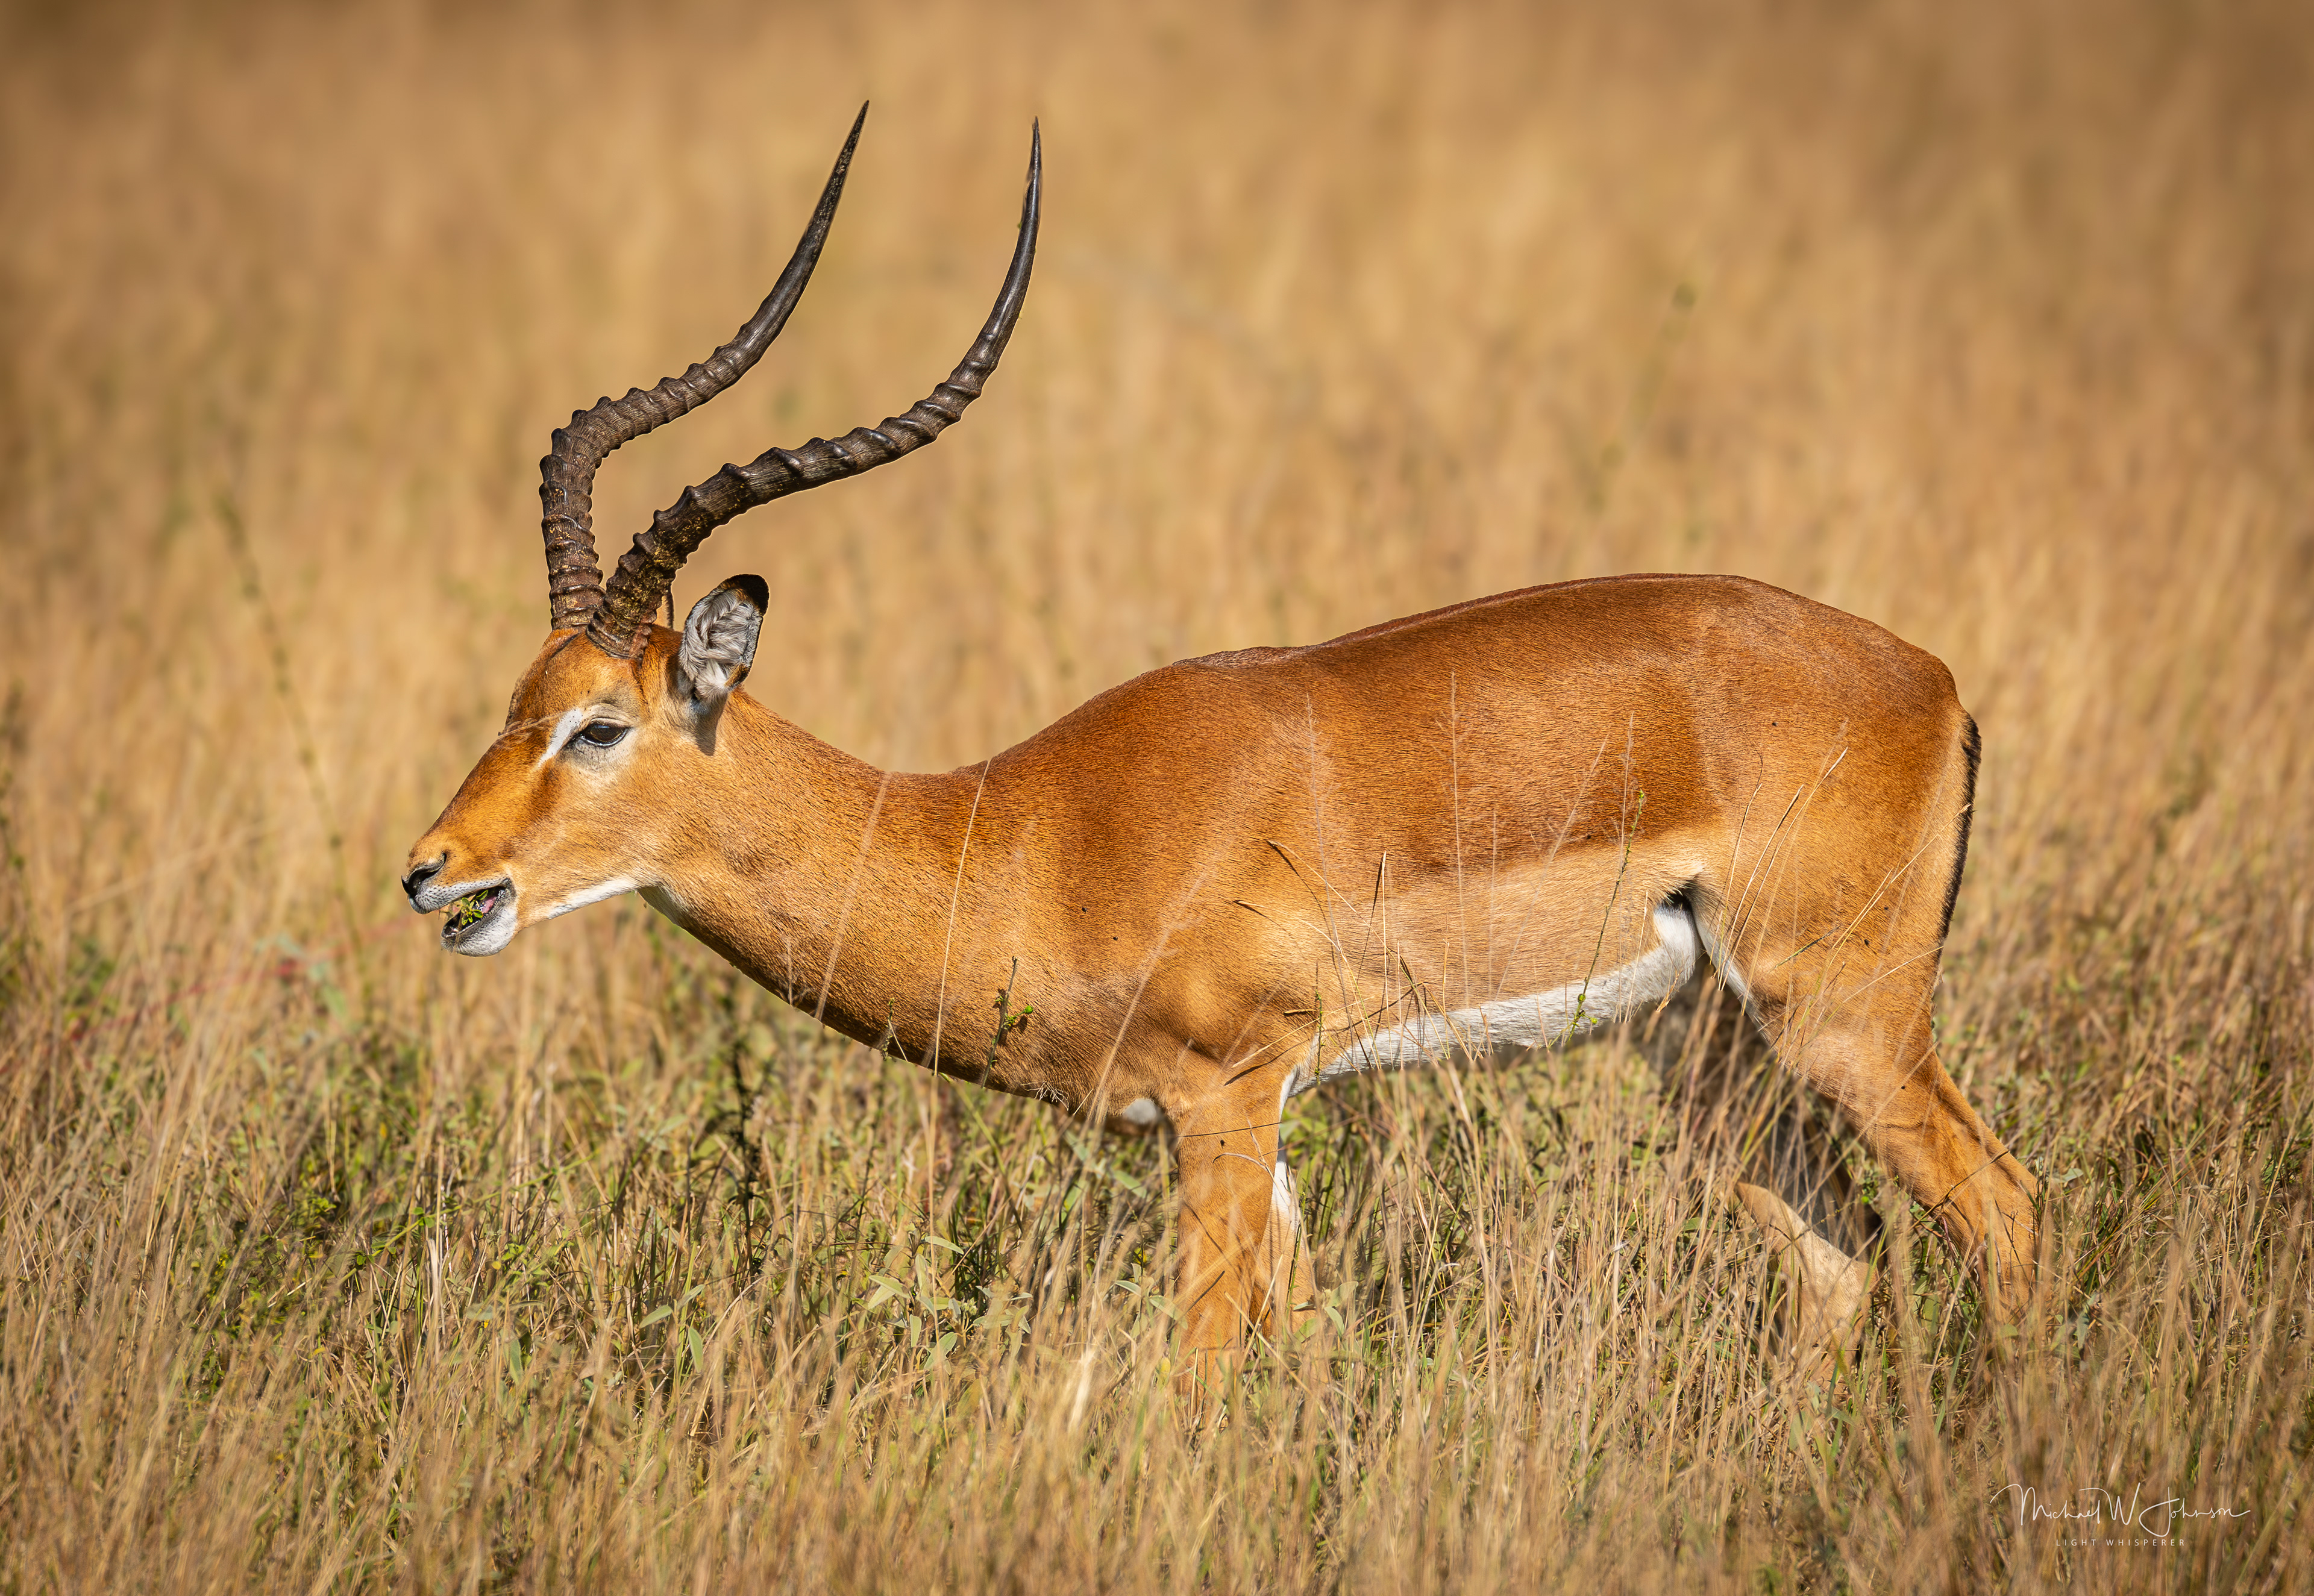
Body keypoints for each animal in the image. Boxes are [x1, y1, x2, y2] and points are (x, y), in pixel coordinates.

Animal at [403, 110, 2039, 1381]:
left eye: (600, 724)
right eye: (513, 696)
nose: (430, 871)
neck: (1022, 835)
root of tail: (1931, 680)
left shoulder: (1219, 1101)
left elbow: (1194, 1370)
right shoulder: (1260, 1120)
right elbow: (1297, 1347)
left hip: (1842, 1015)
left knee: (2002, 1207)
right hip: (1705, 1043)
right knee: (1840, 1258)